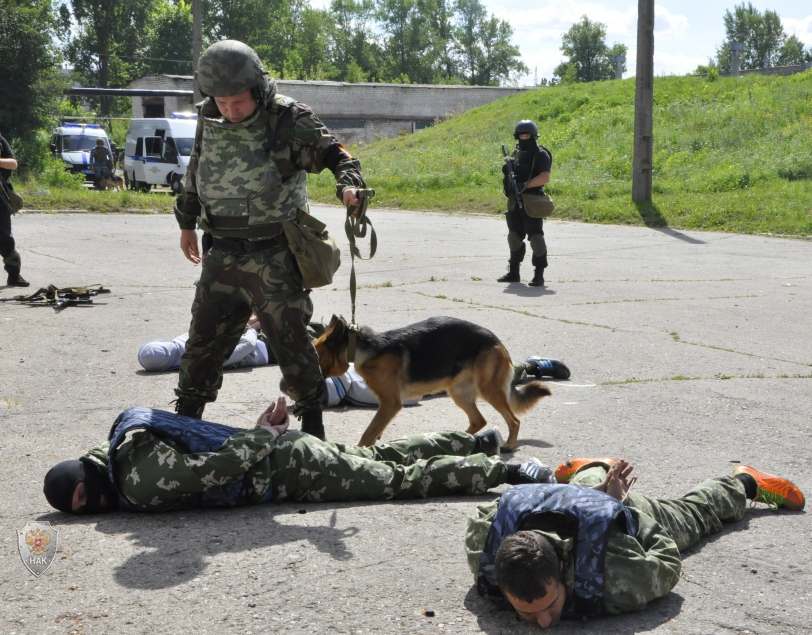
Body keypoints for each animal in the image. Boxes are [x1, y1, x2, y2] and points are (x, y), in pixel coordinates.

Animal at [314, 316, 548, 450]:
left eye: (316, 354)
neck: (360, 347)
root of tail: (498, 342)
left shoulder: (390, 403)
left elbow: (369, 430)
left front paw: (360, 450)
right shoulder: (386, 406)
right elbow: (375, 429)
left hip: (489, 390)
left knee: (513, 421)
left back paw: (509, 444)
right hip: (459, 393)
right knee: (478, 421)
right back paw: (454, 437)